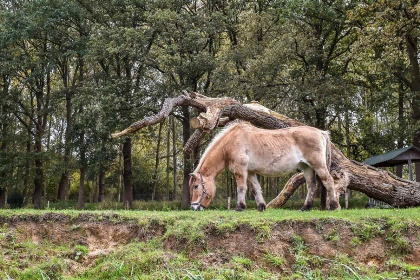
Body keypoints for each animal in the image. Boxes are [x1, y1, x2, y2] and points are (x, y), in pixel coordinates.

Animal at [190, 121, 342, 211]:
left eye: (196, 186)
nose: (194, 207)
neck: (230, 142)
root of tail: (321, 132)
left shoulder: (241, 169)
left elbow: (241, 188)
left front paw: (239, 207)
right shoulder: (250, 172)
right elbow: (256, 189)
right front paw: (261, 206)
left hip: (318, 165)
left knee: (328, 181)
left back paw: (333, 206)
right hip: (307, 167)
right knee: (311, 185)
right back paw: (305, 207)